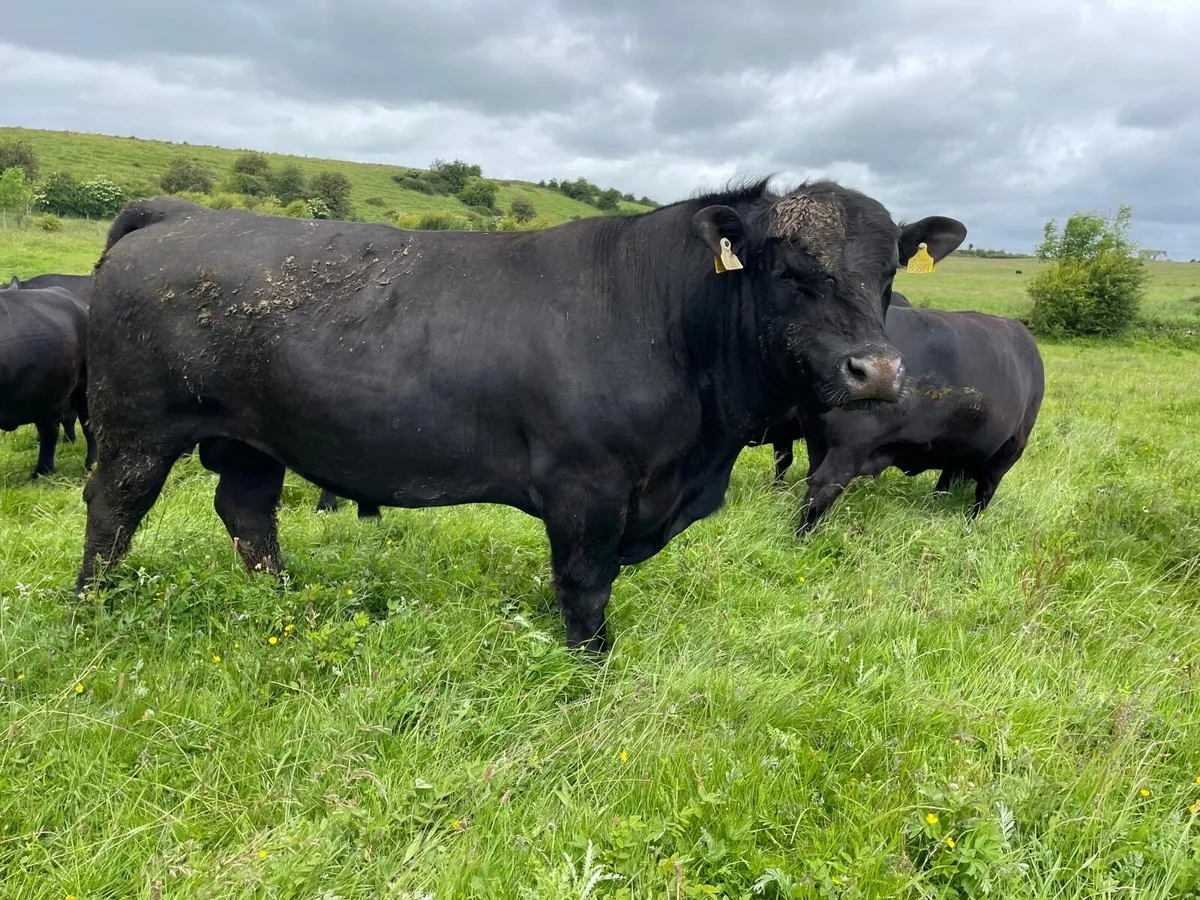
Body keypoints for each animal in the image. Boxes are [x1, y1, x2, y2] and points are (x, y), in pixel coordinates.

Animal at [0, 282, 95, 478]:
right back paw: (43, 471)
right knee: (50, 430)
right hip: (45, 394)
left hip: (84, 388)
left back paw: (90, 466)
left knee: (87, 424)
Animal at [74, 182, 966, 652]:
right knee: (113, 512)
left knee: (248, 512)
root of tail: (178, 212)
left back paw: (283, 605)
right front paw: (589, 664)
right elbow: (585, 586)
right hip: (136, 430)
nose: (877, 371)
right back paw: (89, 613)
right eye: (788, 269)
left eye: (888, 272)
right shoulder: (586, 488)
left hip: (252, 436)